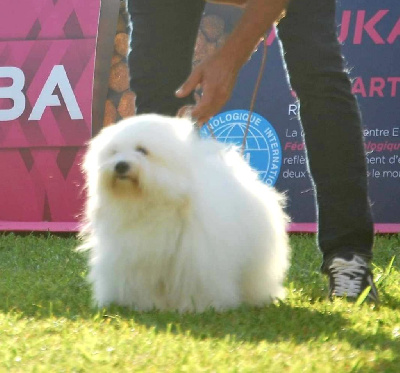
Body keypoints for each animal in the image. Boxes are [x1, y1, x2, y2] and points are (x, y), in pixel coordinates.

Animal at [79, 113, 290, 310]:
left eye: (142, 150)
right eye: (113, 153)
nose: (120, 165)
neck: (153, 203)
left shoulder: (196, 260)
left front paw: (198, 306)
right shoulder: (136, 259)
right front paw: (146, 305)